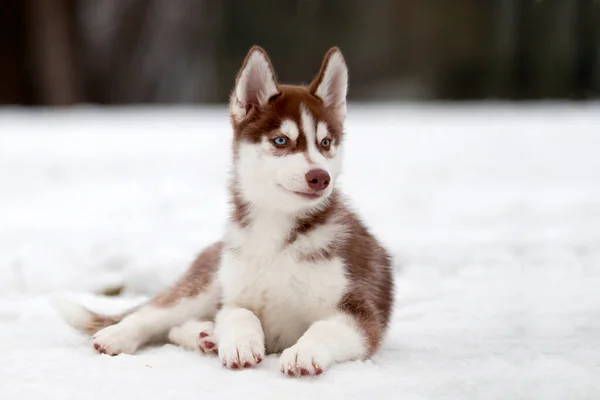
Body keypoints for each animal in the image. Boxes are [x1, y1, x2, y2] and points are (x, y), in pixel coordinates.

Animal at [55, 47, 394, 378]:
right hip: (204, 286)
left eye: (325, 143)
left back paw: (205, 336)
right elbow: (240, 314)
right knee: (156, 315)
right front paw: (241, 343)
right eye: (281, 140)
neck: (276, 235)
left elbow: (324, 329)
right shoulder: (234, 297)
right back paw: (132, 335)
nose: (320, 177)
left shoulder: (361, 313)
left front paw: (303, 352)